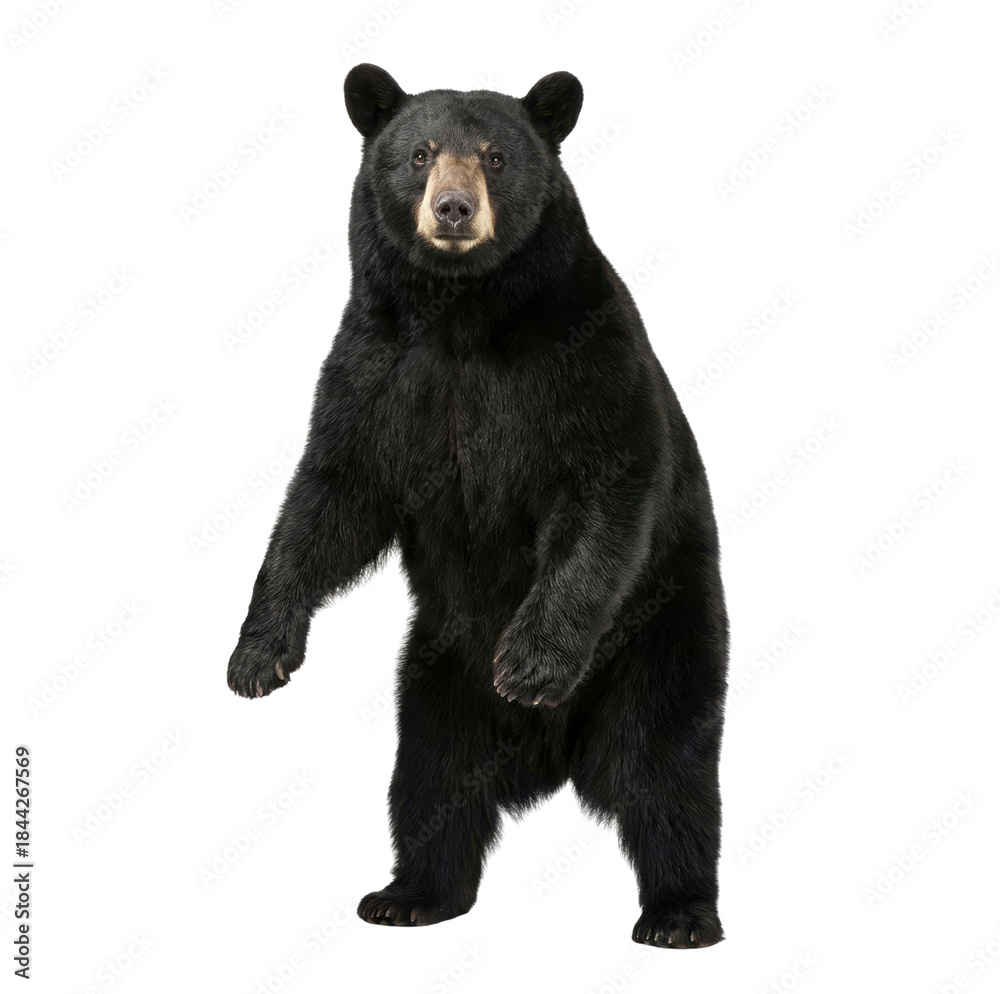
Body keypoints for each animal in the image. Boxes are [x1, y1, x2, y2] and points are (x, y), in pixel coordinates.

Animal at [227, 63, 729, 949]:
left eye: (496, 156)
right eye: (420, 153)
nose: (454, 209)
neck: (462, 313)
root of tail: (551, 755)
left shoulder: (585, 354)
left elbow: (605, 482)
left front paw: (531, 662)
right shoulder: (375, 368)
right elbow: (330, 499)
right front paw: (259, 656)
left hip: (662, 636)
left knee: (664, 769)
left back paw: (679, 913)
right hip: (436, 675)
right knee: (432, 784)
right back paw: (410, 894)